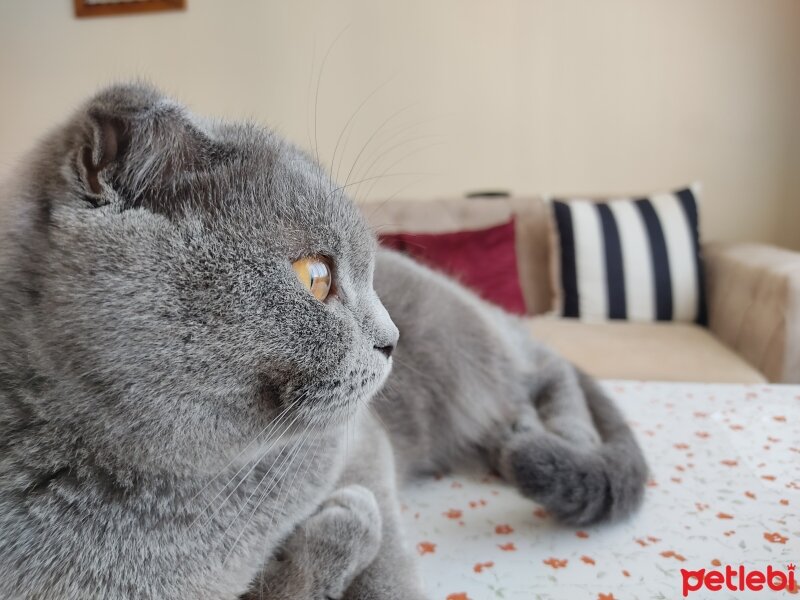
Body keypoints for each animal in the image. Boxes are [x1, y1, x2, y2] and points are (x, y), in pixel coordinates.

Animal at [0, 85, 648, 600]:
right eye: (314, 276)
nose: (392, 339)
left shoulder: (358, 443)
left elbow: (383, 554)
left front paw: (354, 534)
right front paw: (335, 536)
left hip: (461, 340)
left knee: (543, 367)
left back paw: (558, 437)